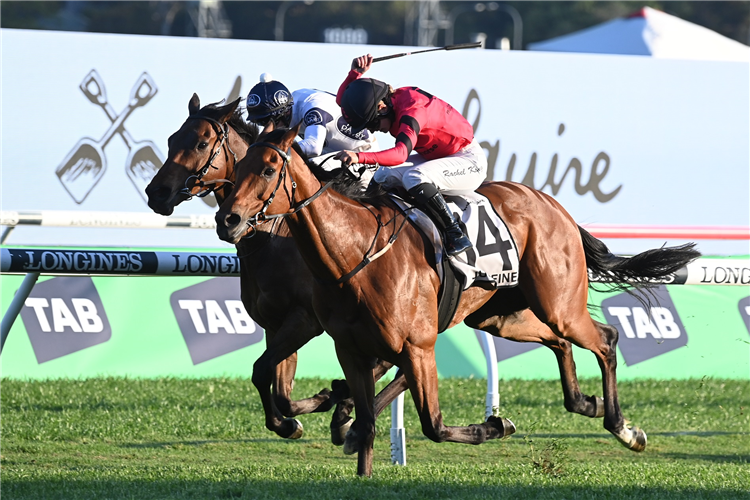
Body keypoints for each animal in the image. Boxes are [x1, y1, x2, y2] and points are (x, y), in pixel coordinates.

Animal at [148, 94, 406, 442]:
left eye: (201, 143)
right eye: (172, 139)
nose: (156, 193)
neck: (274, 235)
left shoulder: (305, 320)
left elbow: (264, 371)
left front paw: (318, 405)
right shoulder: (275, 323)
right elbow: (276, 385)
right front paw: (294, 419)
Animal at [214, 123, 704, 474]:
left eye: (267, 169)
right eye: (238, 167)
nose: (228, 220)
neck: (354, 253)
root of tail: (553, 205)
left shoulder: (415, 345)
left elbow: (432, 425)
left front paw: (494, 424)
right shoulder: (350, 349)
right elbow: (366, 422)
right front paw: (350, 446)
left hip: (557, 304)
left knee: (603, 339)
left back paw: (622, 427)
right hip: (499, 316)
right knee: (561, 341)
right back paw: (586, 402)